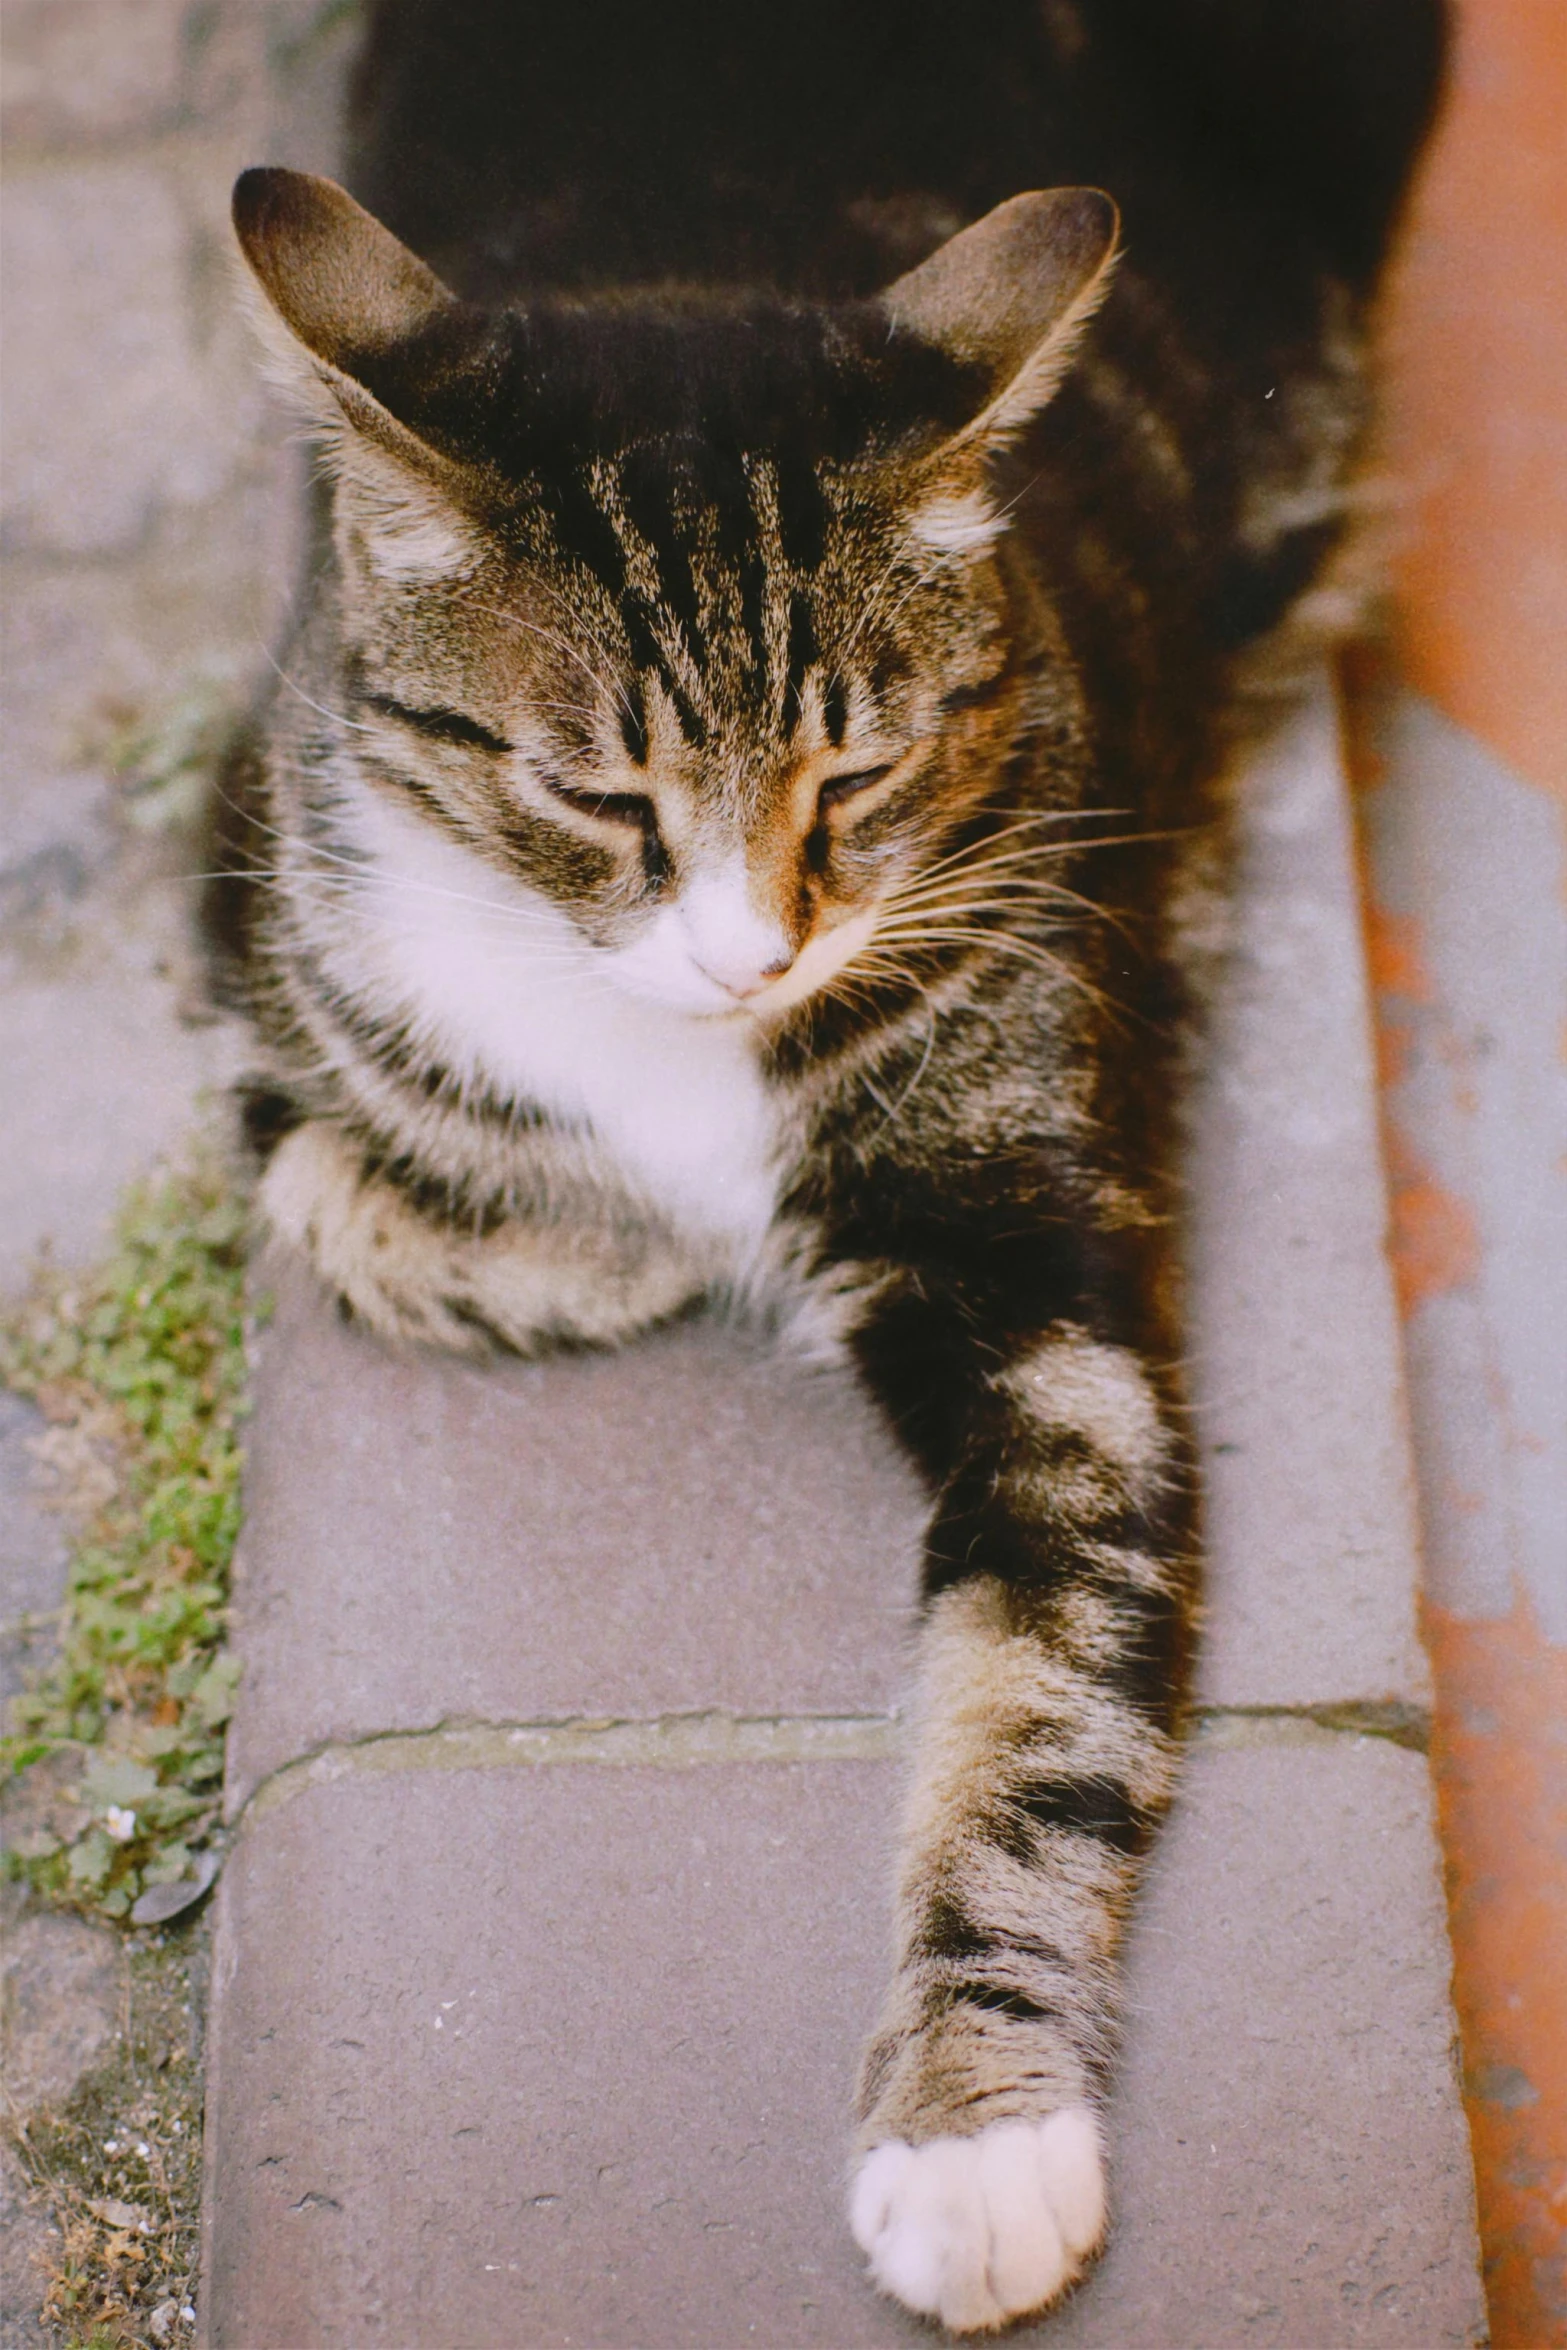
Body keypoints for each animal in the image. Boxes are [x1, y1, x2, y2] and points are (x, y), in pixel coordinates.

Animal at [214, 0, 1437, 2312]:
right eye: (592, 795)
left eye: (856, 778)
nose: (746, 948)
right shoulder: (255, 870)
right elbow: (317, 1183)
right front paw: (620, 1238)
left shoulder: (1038, 1245)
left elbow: (1041, 1700)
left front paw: (977, 2126)